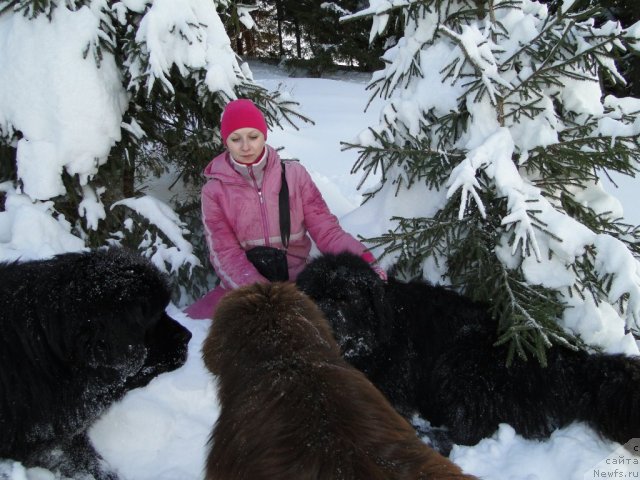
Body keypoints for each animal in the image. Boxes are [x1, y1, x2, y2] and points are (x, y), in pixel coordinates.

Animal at [298, 253, 640, 452]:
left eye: (347, 299)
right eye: (312, 295)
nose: (320, 319)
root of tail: (556, 356)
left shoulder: (394, 382)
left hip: (463, 362)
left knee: (469, 430)